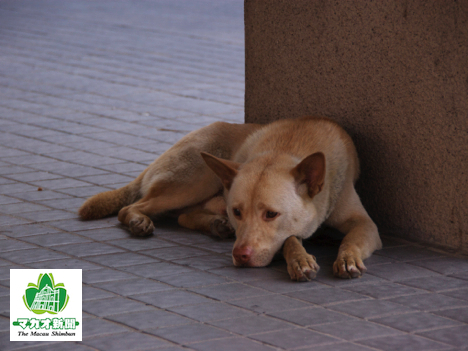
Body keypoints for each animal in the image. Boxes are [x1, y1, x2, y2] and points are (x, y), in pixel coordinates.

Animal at [79, 117, 380, 282]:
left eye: (271, 214)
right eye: (237, 212)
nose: (240, 255)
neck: (286, 148)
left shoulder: (365, 224)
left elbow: (350, 239)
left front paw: (347, 259)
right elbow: (290, 239)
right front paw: (300, 259)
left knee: (184, 216)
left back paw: (215, 226)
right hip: (194, 180)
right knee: (132, 206)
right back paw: (138, 221)